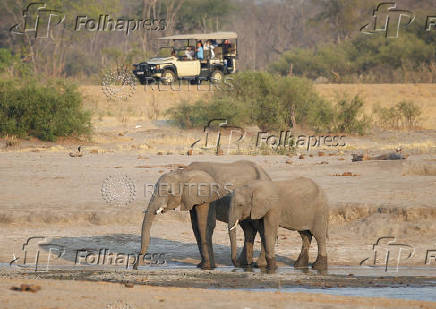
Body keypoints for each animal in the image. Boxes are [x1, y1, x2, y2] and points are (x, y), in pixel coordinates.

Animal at [133, 160, 270, 268]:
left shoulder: (207, 197)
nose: (139, 264)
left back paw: (259, 264)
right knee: (248, 228)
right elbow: (195, 226)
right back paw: (244, 264)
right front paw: (201, 266)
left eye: (169, 192)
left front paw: (207, 267)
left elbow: (205, 224)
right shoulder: (191, 198)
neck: (185, 173)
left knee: (261, 228)